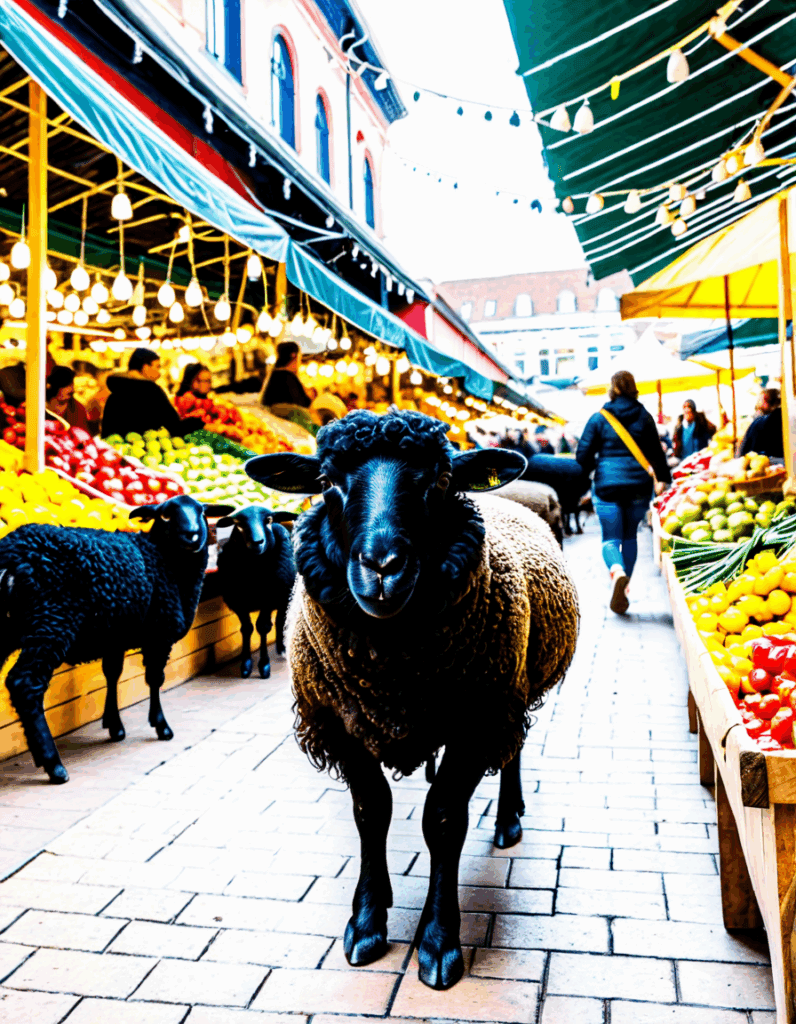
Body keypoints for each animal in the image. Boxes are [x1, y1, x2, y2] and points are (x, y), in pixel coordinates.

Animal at [0, 494, 233, 784]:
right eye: (166, 515)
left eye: (201, 511)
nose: (191, 535)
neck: (162, 558)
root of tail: (12, 556)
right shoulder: (160, 633)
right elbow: (154, 679)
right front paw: (161, 726)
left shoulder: (115, 635)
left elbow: (112, 674)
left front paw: (115, 726)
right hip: (53, 620)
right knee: (25, 683)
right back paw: (53, 764)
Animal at [216, 505, 298, 680]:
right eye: (238, 523)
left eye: (268, 520)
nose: (257, 542)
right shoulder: (238, 602)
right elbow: (246, 629)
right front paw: (246, 665)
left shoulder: (269, 599)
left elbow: (263, 627)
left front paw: (264, 665)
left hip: (284, 595)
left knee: (280, 620)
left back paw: (282, 648)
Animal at [246, 409, 579, 990]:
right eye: (326, 482)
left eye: (441, 482)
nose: (382, 566)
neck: (392, 668)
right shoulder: (338, 722)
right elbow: (370, 811)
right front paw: (366, 921)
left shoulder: (476, 718)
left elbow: (443, 819)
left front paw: (438, 939)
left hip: (508, 688)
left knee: (512, 749)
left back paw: (508, 819)